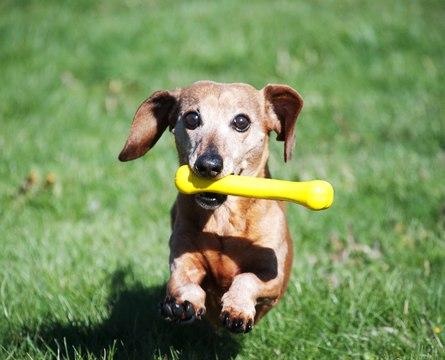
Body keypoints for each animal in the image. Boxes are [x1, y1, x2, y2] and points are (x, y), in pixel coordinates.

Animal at [119, 80, 302, 334]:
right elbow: (182, 280)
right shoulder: (183, 256)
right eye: (192, 118)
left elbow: (246, 279)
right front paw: (182, 304)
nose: (207, 165)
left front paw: (237, 310)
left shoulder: (272, 277)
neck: (223, 222)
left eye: (241, 121)